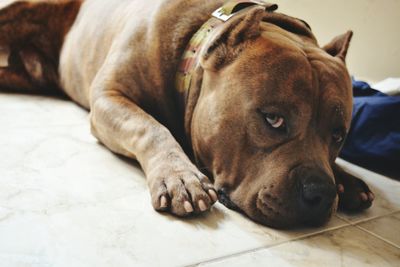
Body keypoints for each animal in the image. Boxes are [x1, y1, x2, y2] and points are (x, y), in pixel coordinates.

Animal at [0, 0, 376, 228]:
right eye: (273, 119)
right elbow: (150, 127)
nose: (322, 193)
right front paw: (181, 177)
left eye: (338, 135)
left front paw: (347, 179)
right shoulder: (110, 97)